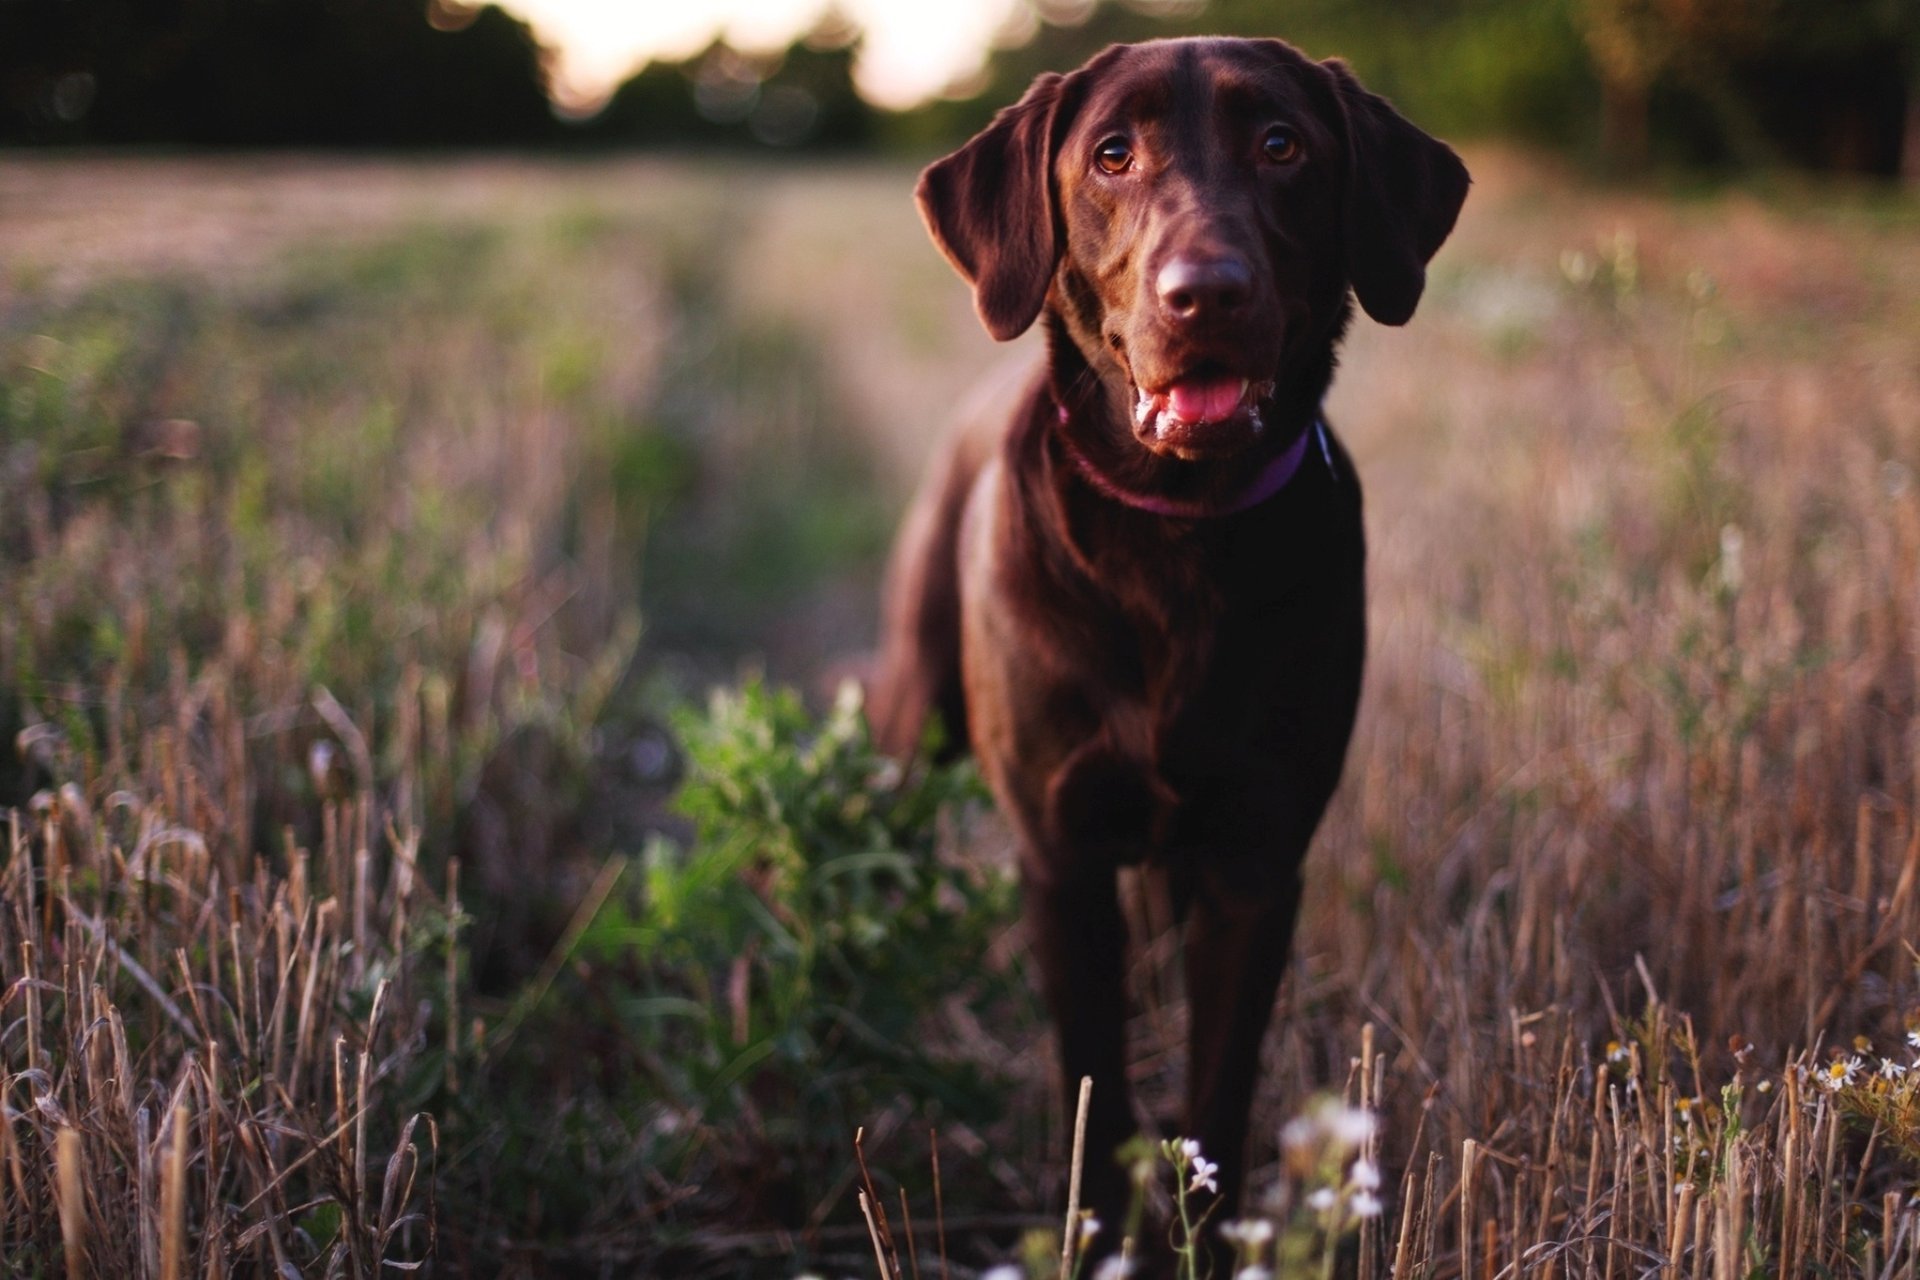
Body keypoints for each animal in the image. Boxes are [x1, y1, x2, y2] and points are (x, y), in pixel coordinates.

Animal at [871, 37, 1466, 1243]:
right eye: (1111, 155)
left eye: (1282, 144)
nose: (1207, 293)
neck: (1177, 541)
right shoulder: (1061, 858)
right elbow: (1093, 1076)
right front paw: (1097, 1235)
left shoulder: (1255, 859)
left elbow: (1220, 1083)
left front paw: (1208, 1234)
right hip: (916, 712)